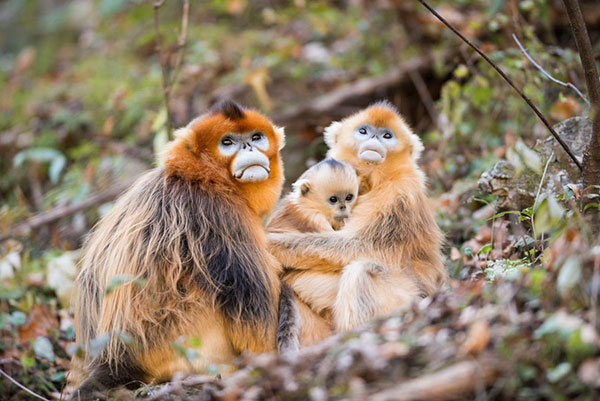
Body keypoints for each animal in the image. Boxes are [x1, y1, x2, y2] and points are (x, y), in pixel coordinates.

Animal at [71, 100, 296, 396]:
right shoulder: (220, 214)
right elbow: (253, 322)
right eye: (227, 142)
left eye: (256, 137)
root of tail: (114, 362)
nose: (249, 147)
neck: (200, 179)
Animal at [268, 101, 446, 340]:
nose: (375, 138)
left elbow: (359, 245)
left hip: (412, 299)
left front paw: (268, 242)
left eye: (387, 135)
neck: (371, 181)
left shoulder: (399, 192)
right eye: (363, 131)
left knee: (362, 272)